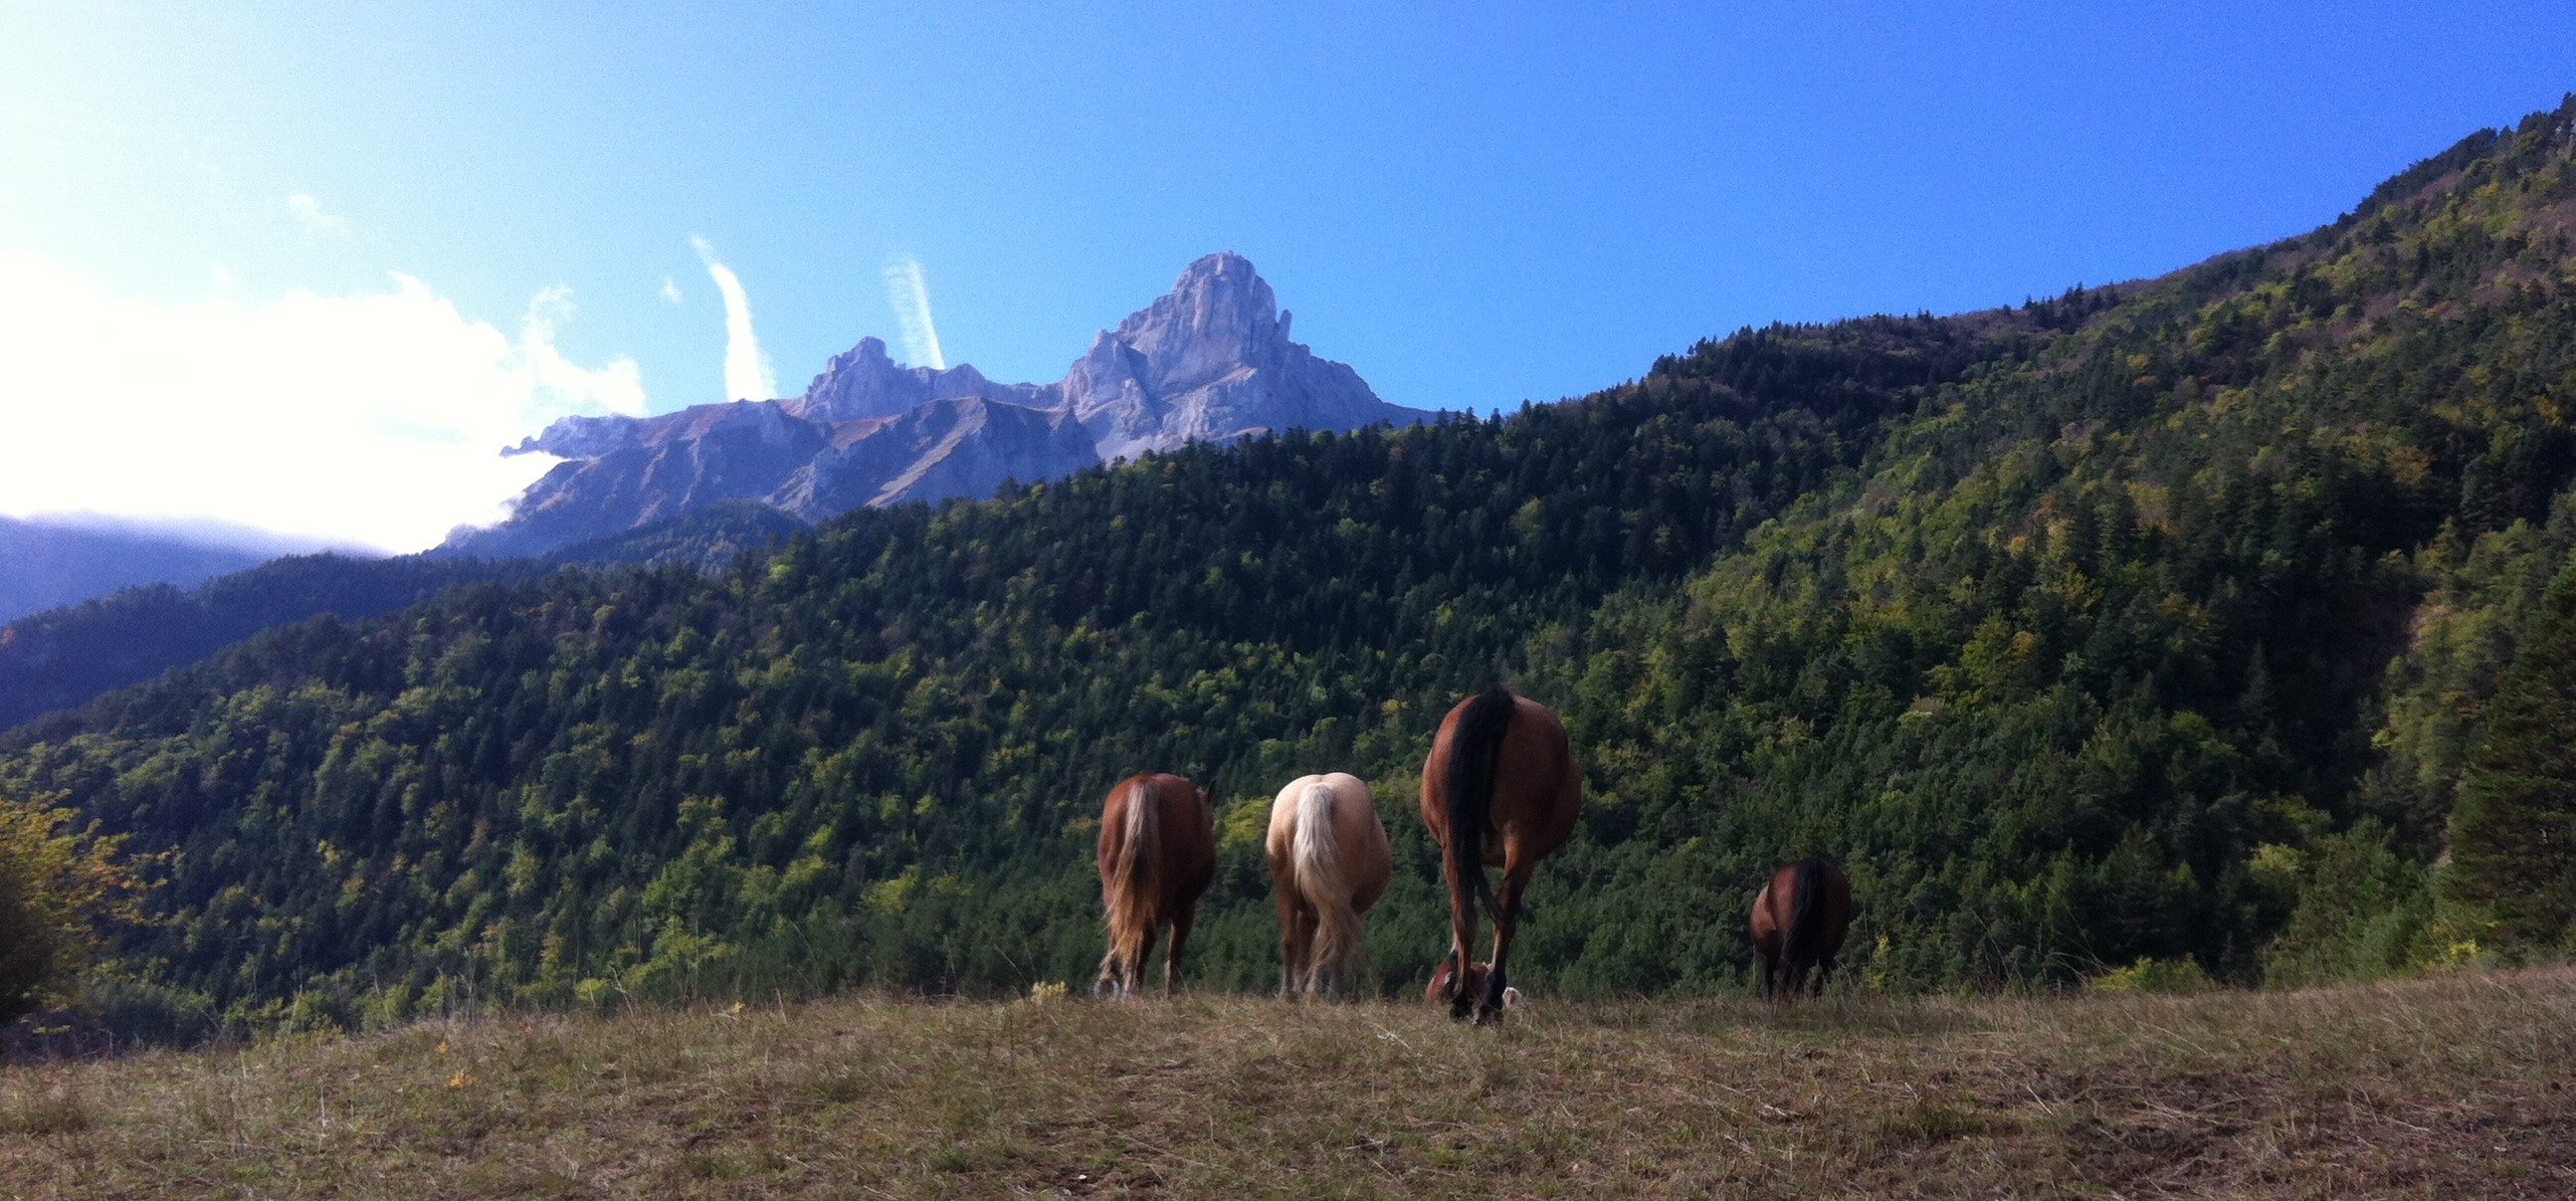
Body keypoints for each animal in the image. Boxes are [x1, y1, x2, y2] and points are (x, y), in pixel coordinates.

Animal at [1091, 773, 1221, 999]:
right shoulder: (1186, 908)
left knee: (1117, 934)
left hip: (1113, 891)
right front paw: (1171, 996)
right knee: (1145, 938)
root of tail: (1145, 782)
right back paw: (1133, 989)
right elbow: (1174, 955)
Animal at [1262, 773, 1391, 999]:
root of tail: (1320, 787)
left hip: (1287, 893)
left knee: (1289, 940)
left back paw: (1288, 993)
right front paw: (1333, 991)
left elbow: (1304, 945)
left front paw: (1299, 987)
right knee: (1326, 939)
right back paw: (1317, 993)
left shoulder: (1307, 909)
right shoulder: (1353, 910)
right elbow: (1340, 947)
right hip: (1336, 899)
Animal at [1422, 685, 1576, 1020]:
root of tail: (1500, 703)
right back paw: (1489, 1003)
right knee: (1505, 912)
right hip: (1519, 838)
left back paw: (1463, 1001)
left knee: (1464, 912)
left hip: (1455, 842)